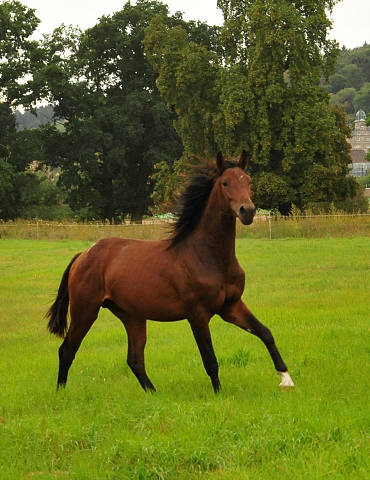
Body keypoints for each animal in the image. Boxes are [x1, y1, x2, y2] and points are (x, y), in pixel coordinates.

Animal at [45, 152, 294, 392]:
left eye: (248, 180)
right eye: (225, 182)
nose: (247, 211)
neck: (209, 256)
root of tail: (84, 255)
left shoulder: (231, 306)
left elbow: (265, 333)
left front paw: (286, 379)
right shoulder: (197, 314)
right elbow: (210, 359)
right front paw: (218, 394)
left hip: (132, 316)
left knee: (134, 359)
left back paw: (154, 393)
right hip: (85, 311)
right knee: (67, 350)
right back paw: (61, 393)